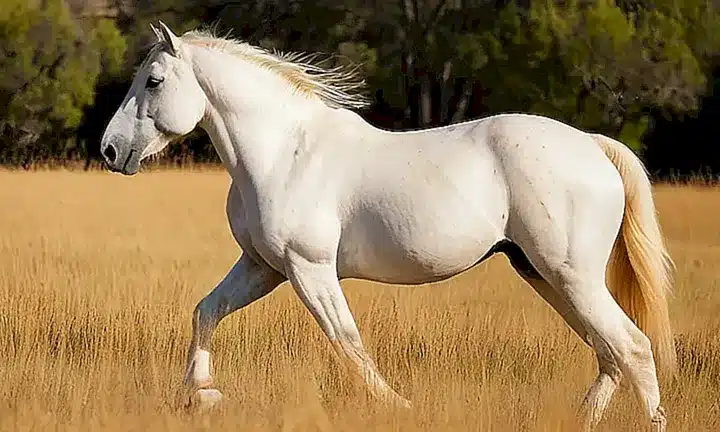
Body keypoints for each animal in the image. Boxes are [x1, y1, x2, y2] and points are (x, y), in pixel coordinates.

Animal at [99, 21, 676, 431]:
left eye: (153, 80)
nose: (109, 150)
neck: (283, 152)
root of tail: (594, 147)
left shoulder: (309, 269)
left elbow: (346, 341)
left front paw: (399, 406)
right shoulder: (264, 267)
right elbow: (207, 312)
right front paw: (199, 395)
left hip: (571, 276)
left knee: (632, 347)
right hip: (543, 274)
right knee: (609, 353)